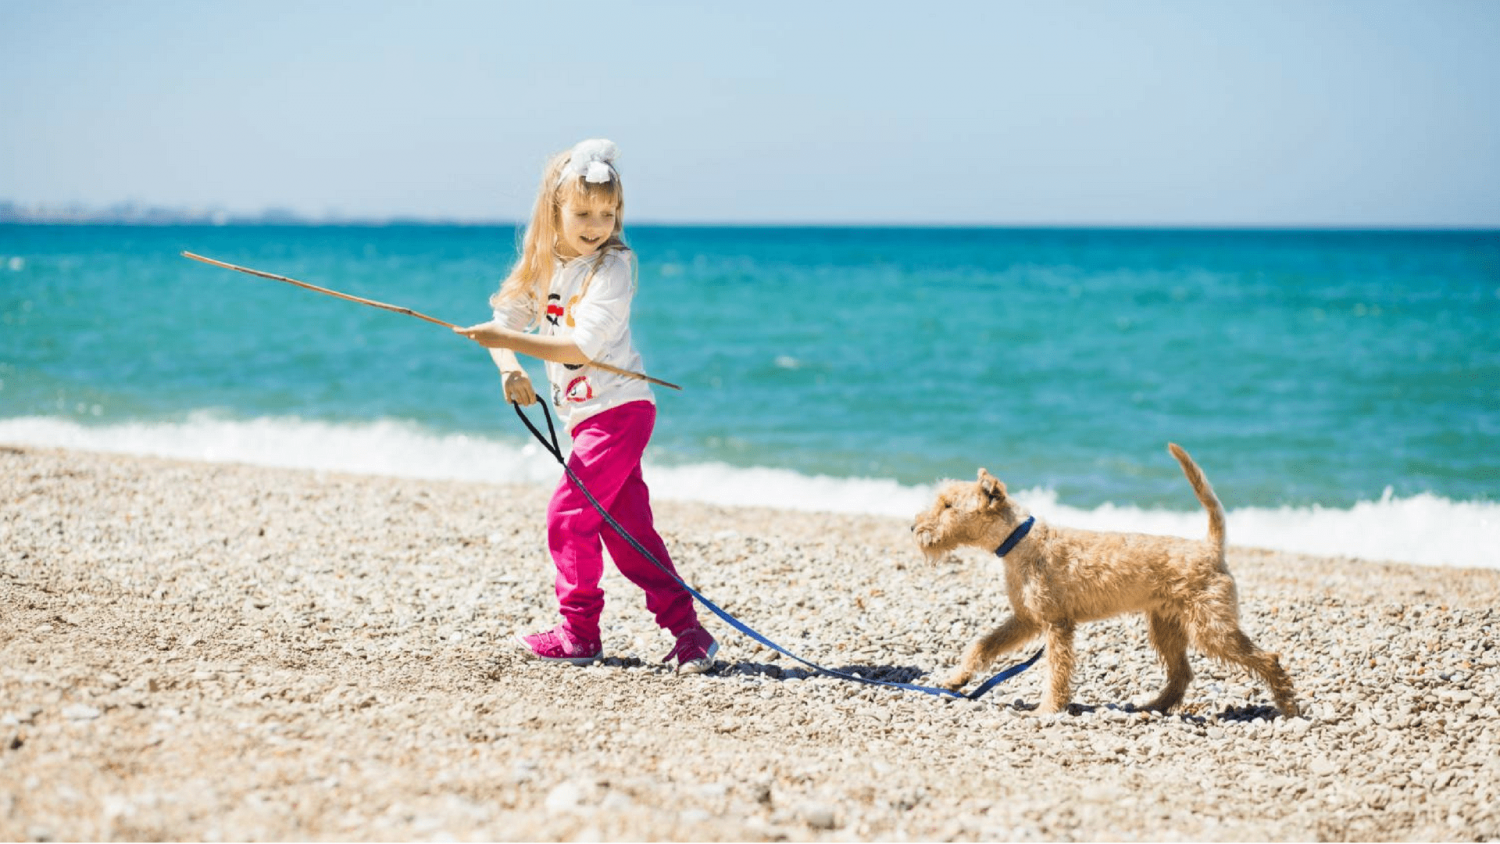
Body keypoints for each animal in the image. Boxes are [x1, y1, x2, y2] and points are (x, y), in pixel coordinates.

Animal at [906, 446, 1296, 716]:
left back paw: (1287, 704)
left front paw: (1046, 709)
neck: (1020, 542)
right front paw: (957, 678)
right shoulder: (1026, 619)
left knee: (1268, 658)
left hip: (1211, 628)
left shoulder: (1056, 624)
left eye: (948, 506)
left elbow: (1057, 671)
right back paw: (1152, 706)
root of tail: (1211, 547)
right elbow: (982, 645)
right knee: (1182, 673)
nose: (913, 527)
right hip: (1166, 626)